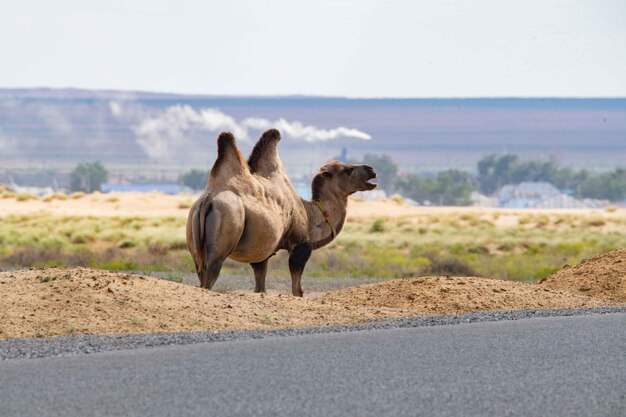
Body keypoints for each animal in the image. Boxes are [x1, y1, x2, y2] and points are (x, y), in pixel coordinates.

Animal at [183, 130, 372, 296]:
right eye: (348, 170)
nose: (371, 169)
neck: (309, 213)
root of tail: (207, 200)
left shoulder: (261, 255)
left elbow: (260, 287)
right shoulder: (300, 244)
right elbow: (297, 289)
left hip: (194, 241)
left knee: (200, 272)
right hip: (224, 233)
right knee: (209, 276)